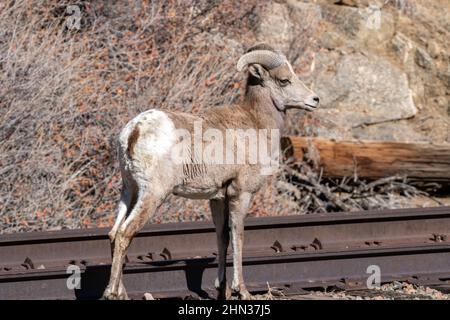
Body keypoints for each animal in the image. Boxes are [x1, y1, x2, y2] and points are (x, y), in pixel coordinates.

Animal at [103, 43, 320, 300]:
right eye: (284, 80)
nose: (315, 99)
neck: (257, 124)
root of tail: (133, 131)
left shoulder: (217, 198)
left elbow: (222, 238)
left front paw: (221, 290)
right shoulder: (241, 194)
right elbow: (238, 237)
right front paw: (241, 291)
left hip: (129, 191)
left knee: (114, 233)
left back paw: (121, 293)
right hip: (152, 194)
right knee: (125, 233)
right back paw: (112, 293)